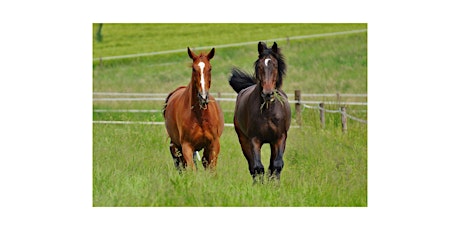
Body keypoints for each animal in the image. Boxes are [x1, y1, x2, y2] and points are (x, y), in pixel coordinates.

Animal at [229, 41, 292, 183]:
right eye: (259, 66)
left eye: (275, 66)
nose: (267, 93)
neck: (268, 112)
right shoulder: (254, 139)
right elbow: (257, 167)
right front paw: (260, 186)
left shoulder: (280, 138)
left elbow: (277, 165)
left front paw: (275, 185)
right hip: (243, 140)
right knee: (252, 166)